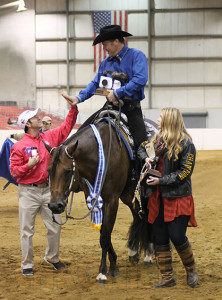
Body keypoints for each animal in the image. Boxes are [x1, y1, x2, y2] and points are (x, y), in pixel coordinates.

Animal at [45, 113, 157, 284]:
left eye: (68, 171)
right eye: (48, 170)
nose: (54, 206)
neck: (101, 154)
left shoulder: (111, 200)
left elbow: (104, 236)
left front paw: (103, 271)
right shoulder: (94, 200)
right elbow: (104, 232)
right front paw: (114, 264)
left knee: (149, 215)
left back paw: (149, 254)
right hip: (128, 194)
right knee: (139, 215)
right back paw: (133, 253)